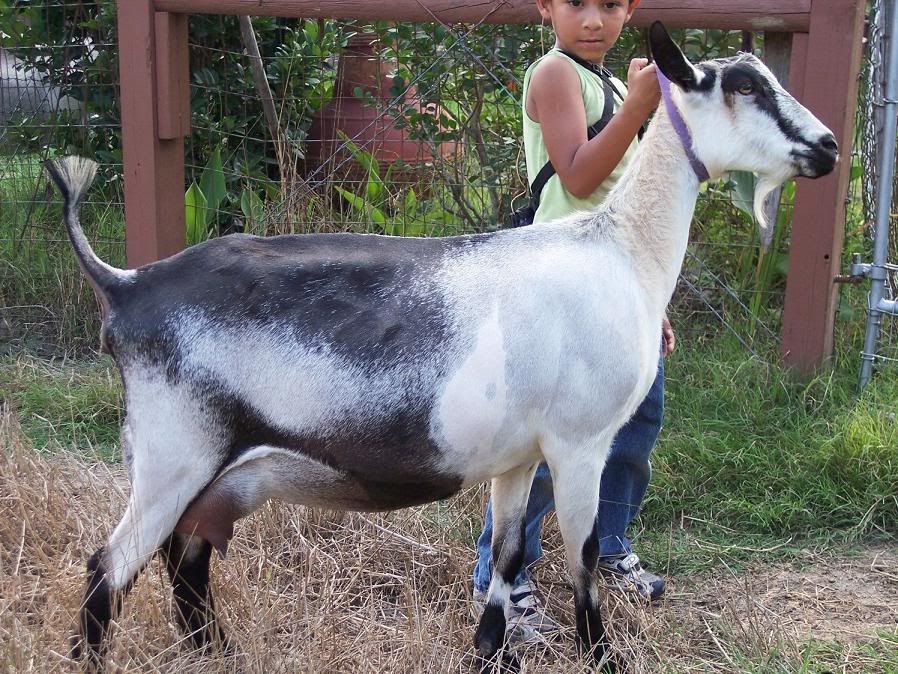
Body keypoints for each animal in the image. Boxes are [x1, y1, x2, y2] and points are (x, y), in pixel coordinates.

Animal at [51, 22, 836, 672]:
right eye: (743, 86)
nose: (828, 147)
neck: (621, 250)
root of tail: (125, 285)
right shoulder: (580, 440)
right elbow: (580, 554)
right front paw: (602, 657)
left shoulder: (519, 454)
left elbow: (511, 556)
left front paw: (491, 654)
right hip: (174, 451)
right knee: (109, 566)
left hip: (210, 470)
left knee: (185, 557)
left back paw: (219, 652)